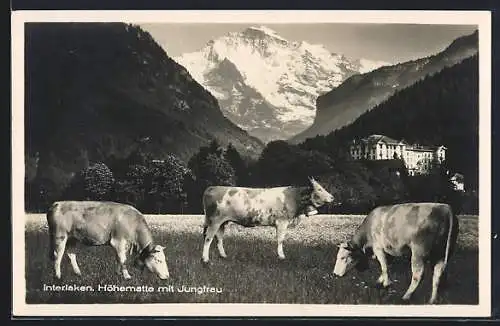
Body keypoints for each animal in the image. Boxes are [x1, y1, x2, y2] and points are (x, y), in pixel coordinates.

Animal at [200, 177, 336, 264]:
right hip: (215, 220)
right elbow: (280, 240)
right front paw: (281, 256)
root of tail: (212, 187)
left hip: (222, 222)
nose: (332, 197)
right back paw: (205, 259)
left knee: (219, 238)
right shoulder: (282, 222)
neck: (294, 198)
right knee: (208, 238)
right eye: (319, 189)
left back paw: (223, 255)